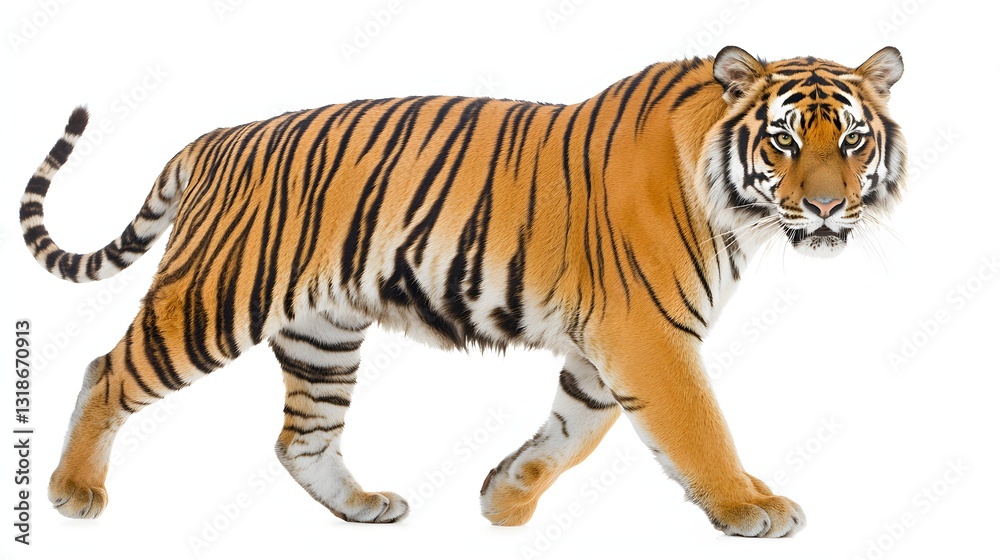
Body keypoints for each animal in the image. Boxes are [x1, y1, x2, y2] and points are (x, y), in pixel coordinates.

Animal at [20, 45, 905, 537]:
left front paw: (503, 501)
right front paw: (748, 506)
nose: (827, 207)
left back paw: (361, 507)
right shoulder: (647, 334)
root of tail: (213, 139)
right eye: (784, 139)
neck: (734, 208)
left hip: (323, 335)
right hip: (216, 299)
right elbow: (699, 427)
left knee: (300, 437)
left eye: (853, 141)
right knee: (107, 370)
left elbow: (573, 432)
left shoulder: (606, 345)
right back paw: (74, 492)